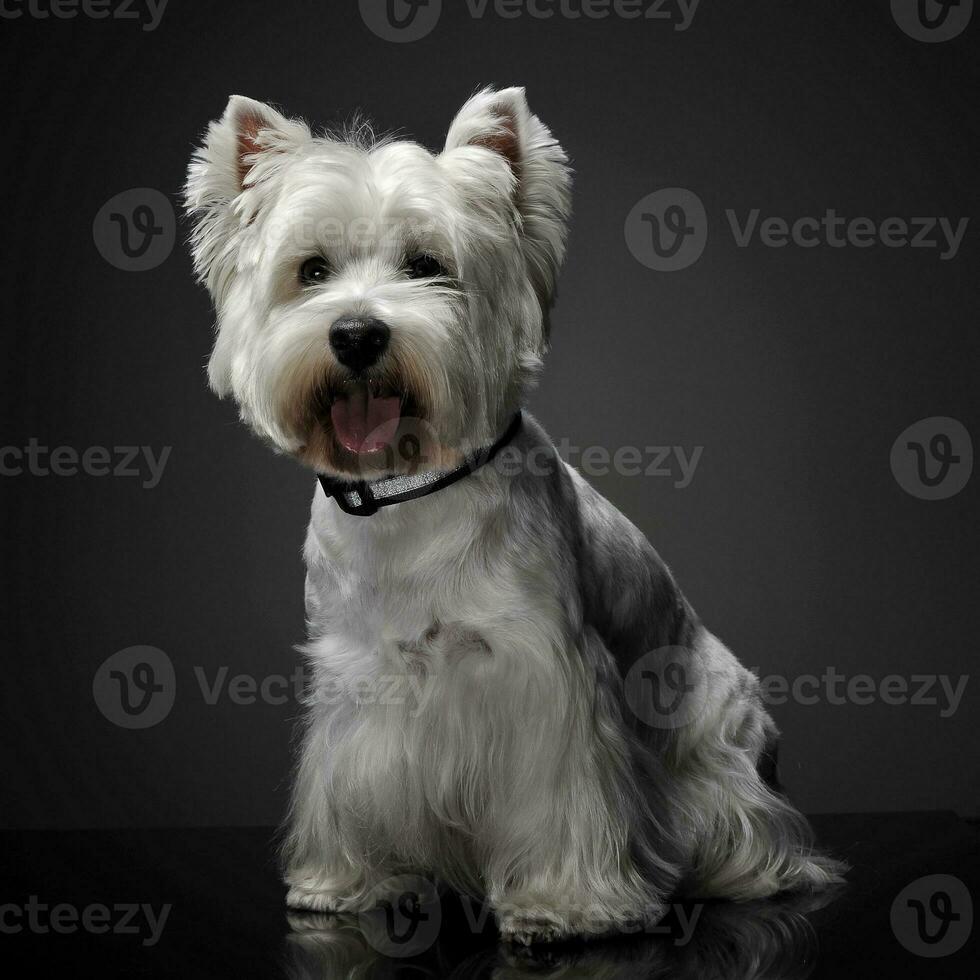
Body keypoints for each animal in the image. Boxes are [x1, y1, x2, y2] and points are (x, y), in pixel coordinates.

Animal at [184, 88, 844, 944]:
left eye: (426, 264)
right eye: (312, 271)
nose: (357, 334)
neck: (414, 491)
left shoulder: (547, 679)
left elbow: (562, 798)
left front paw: (568, 904)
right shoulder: (358, 682)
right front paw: (344, 882)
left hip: (725, 736)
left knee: (755, 829)